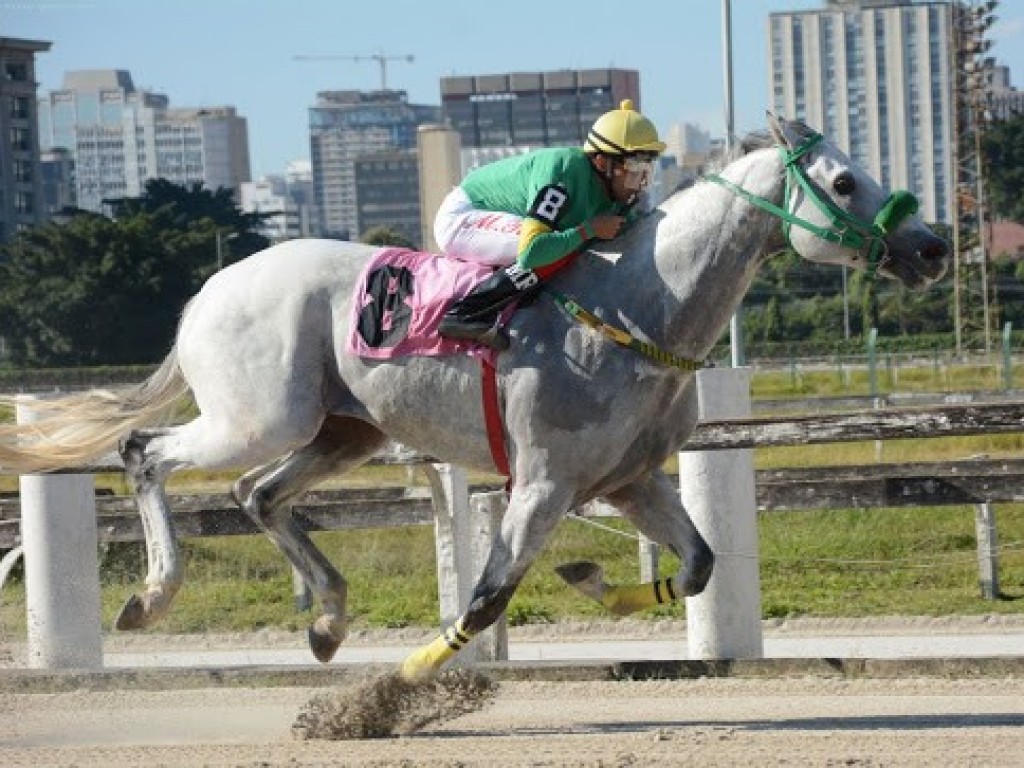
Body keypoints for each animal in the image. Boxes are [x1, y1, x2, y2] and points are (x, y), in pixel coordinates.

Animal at [0, 117, 942, 684]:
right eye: (845, 183)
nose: (932, 247)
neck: (640, 306)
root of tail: (207, 291)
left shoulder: (627, 479)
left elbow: (699, 564)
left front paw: (588, 576)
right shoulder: (545, 480)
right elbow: (487, 596)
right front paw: (404, 685)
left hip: (341, 431)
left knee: (257, 494)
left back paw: (327, 620)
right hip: (257, 416)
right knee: (147, 453)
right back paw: (153, 594)